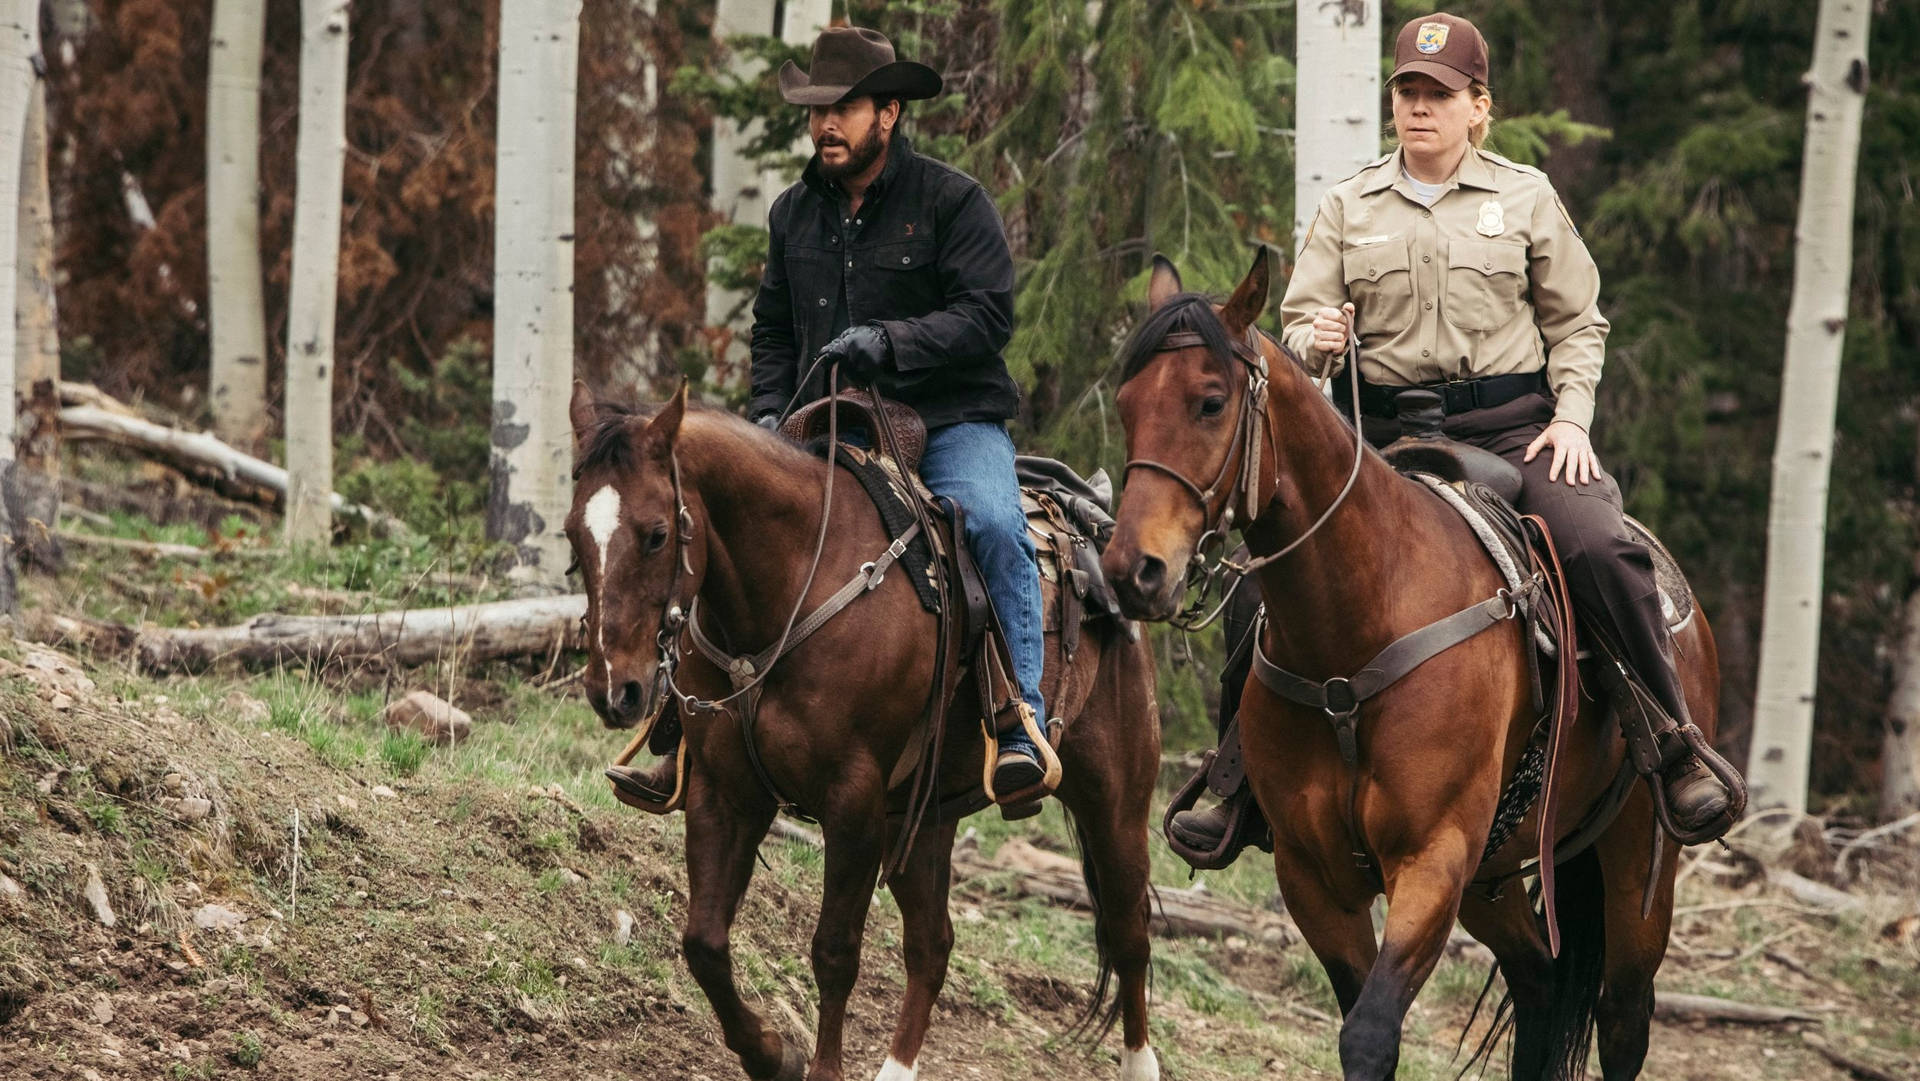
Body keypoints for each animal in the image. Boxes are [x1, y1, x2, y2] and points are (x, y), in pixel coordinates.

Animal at [564, 382, 1167, 1081]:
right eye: (573, 534)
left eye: (657, 535)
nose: (616, 689)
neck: (795, 580)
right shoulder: (726, 791)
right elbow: (704, 942)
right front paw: (772, 1054)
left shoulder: (852, 805)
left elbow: (834, 953)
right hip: (924, 815)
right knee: (931, 945)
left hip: (1114, 802)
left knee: (1129, 934)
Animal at [1105, 251, 1720, 1081]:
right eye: (1127, 402)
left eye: (1210, 401)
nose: (1132, 570)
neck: (1358, 626)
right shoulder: (1314, 876)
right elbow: (1360, 1015)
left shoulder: (1432, 858)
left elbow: (1370, 1035)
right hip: (1495, 875)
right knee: (1539, 980)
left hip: (1633, 867)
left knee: (1623, 1015)